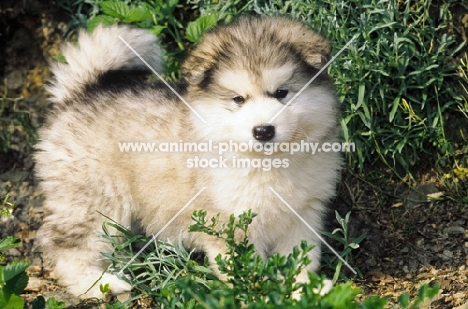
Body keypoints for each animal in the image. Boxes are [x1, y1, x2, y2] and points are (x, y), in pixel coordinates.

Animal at [33, 16, 340, 296]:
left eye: (282, 93)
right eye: (238, 99)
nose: (263, 130)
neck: (268, 162)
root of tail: (80, 93)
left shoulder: (304, 214)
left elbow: (301, 258)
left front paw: (305, 289)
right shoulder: (230, 224)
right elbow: (246, 267)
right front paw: (259, 291)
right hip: (94, 199)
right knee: (68, 245)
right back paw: (99, 283)